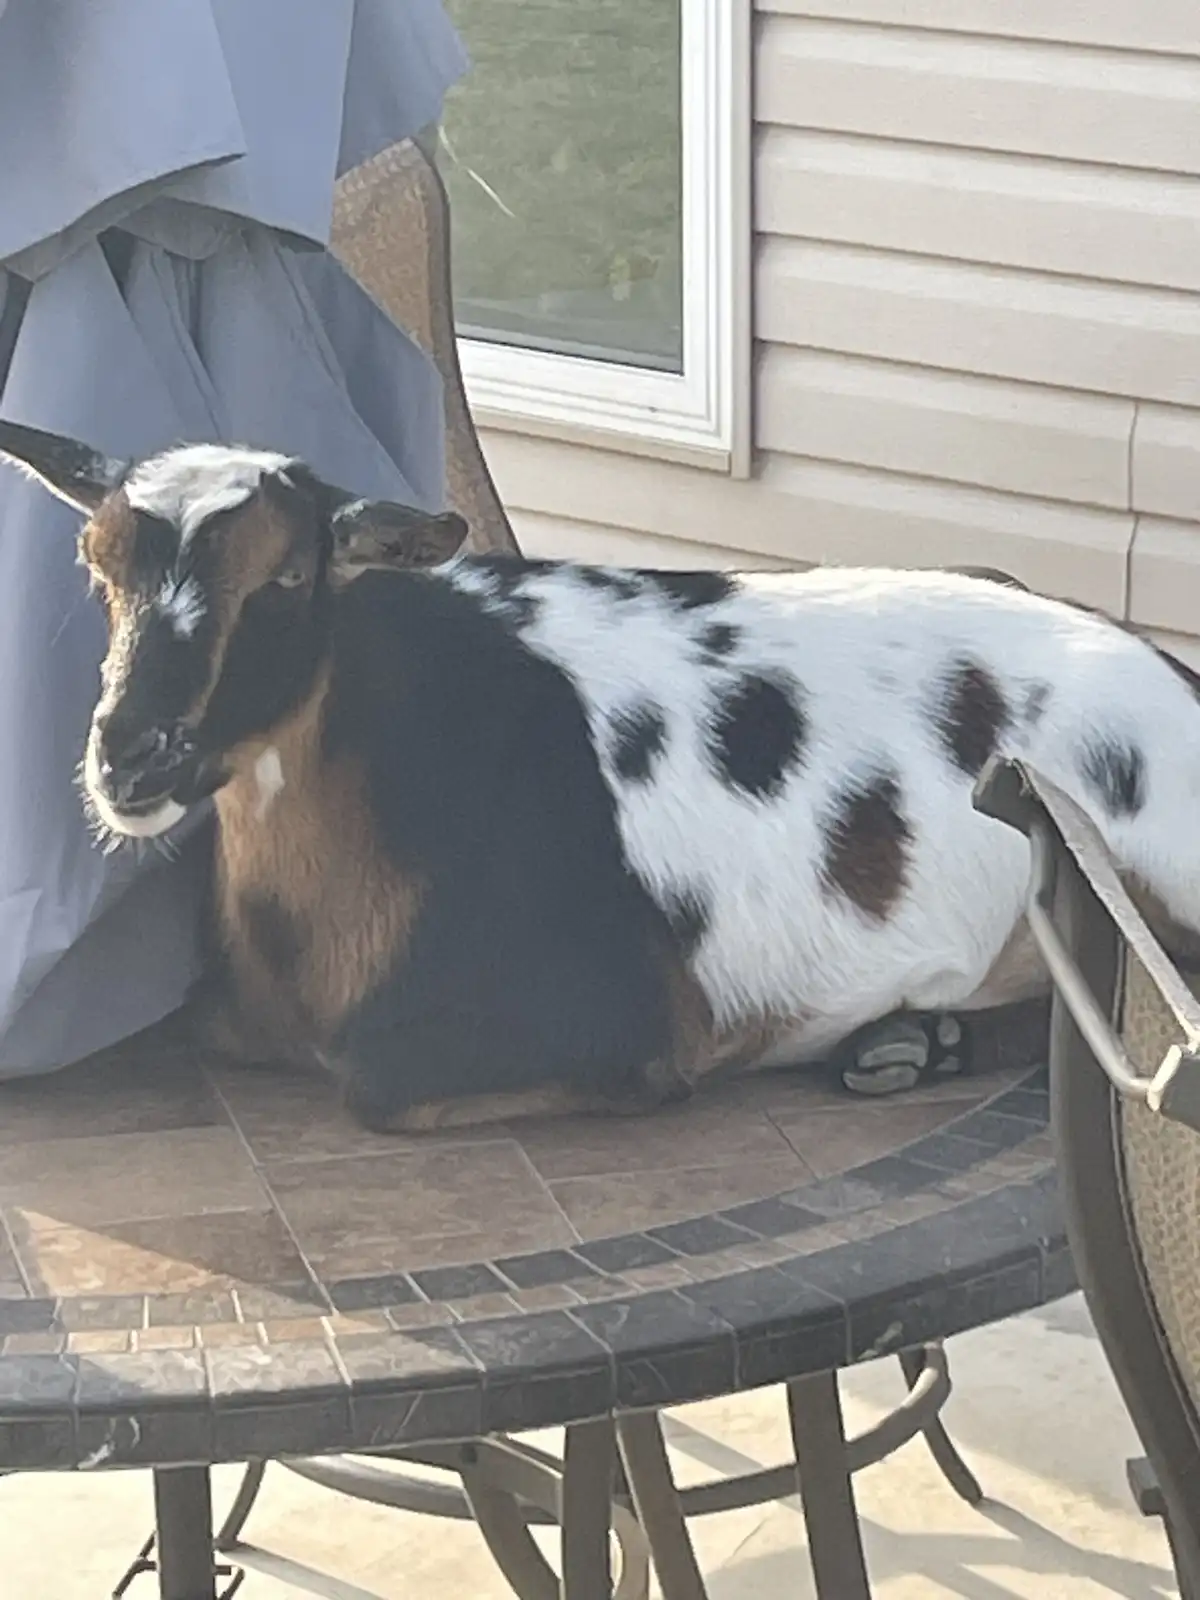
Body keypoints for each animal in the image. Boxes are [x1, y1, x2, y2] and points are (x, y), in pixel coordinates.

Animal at [3, 420, 1198, 1130]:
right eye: (98, 568)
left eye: (287, 578)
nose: (130, 754)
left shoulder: (611, 1025)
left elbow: (382, 1089)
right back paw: (908, 1044)